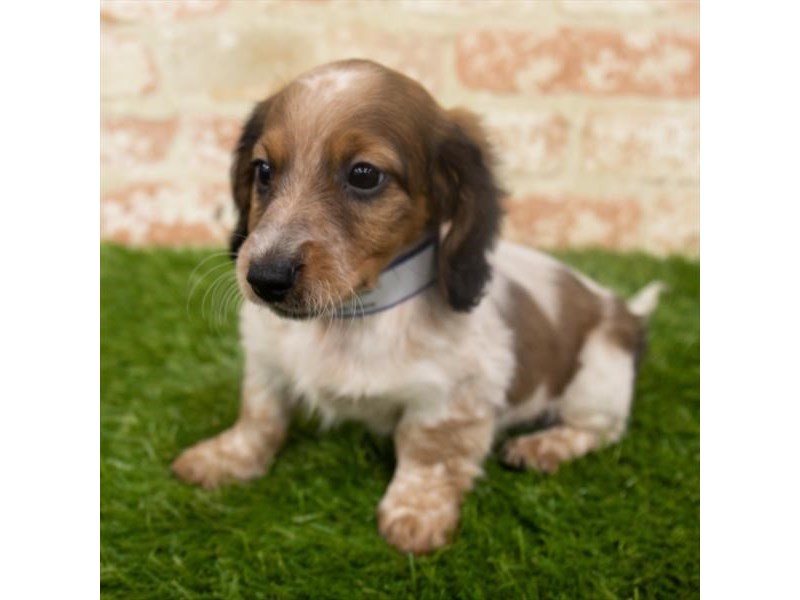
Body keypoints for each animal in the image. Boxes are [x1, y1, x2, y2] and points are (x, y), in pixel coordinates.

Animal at [173, 59, 664, 552]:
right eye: (263, 170)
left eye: (364, 175)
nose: (265, 278)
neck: (352, 316)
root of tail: (625, 311)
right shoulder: (266, 362)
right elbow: (260, 416)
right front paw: (224, 458)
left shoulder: (453, 396)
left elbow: (428, 450)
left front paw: (416, 511)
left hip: (598, 376)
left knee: (600, 428)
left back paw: (542, 446)